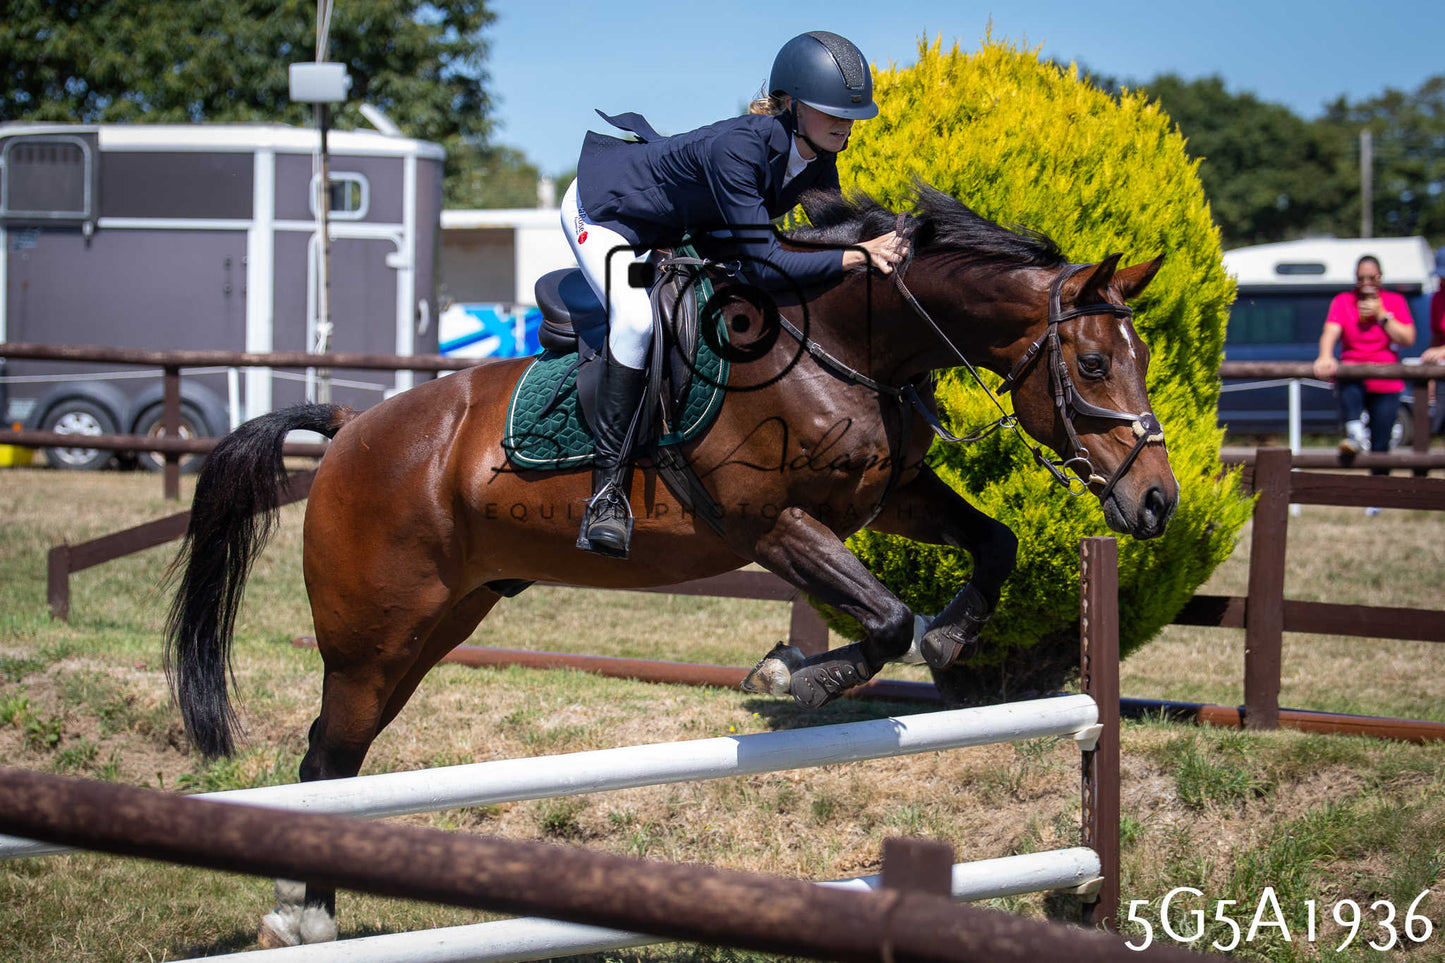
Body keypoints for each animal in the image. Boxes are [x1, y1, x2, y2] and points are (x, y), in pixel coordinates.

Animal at [165, 185, 1177, 945]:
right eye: (1092, 364)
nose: (1157, 502)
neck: (845, 344)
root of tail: (349, 430)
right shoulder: (767, 522)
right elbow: (883, 616)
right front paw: (800, 675)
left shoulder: (887, 497)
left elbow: (990, 544)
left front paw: (952, 635)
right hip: (372, 635)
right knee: (328, 754)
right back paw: (303, 921)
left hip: (436, 623)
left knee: (340, 752)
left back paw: (305, 907)